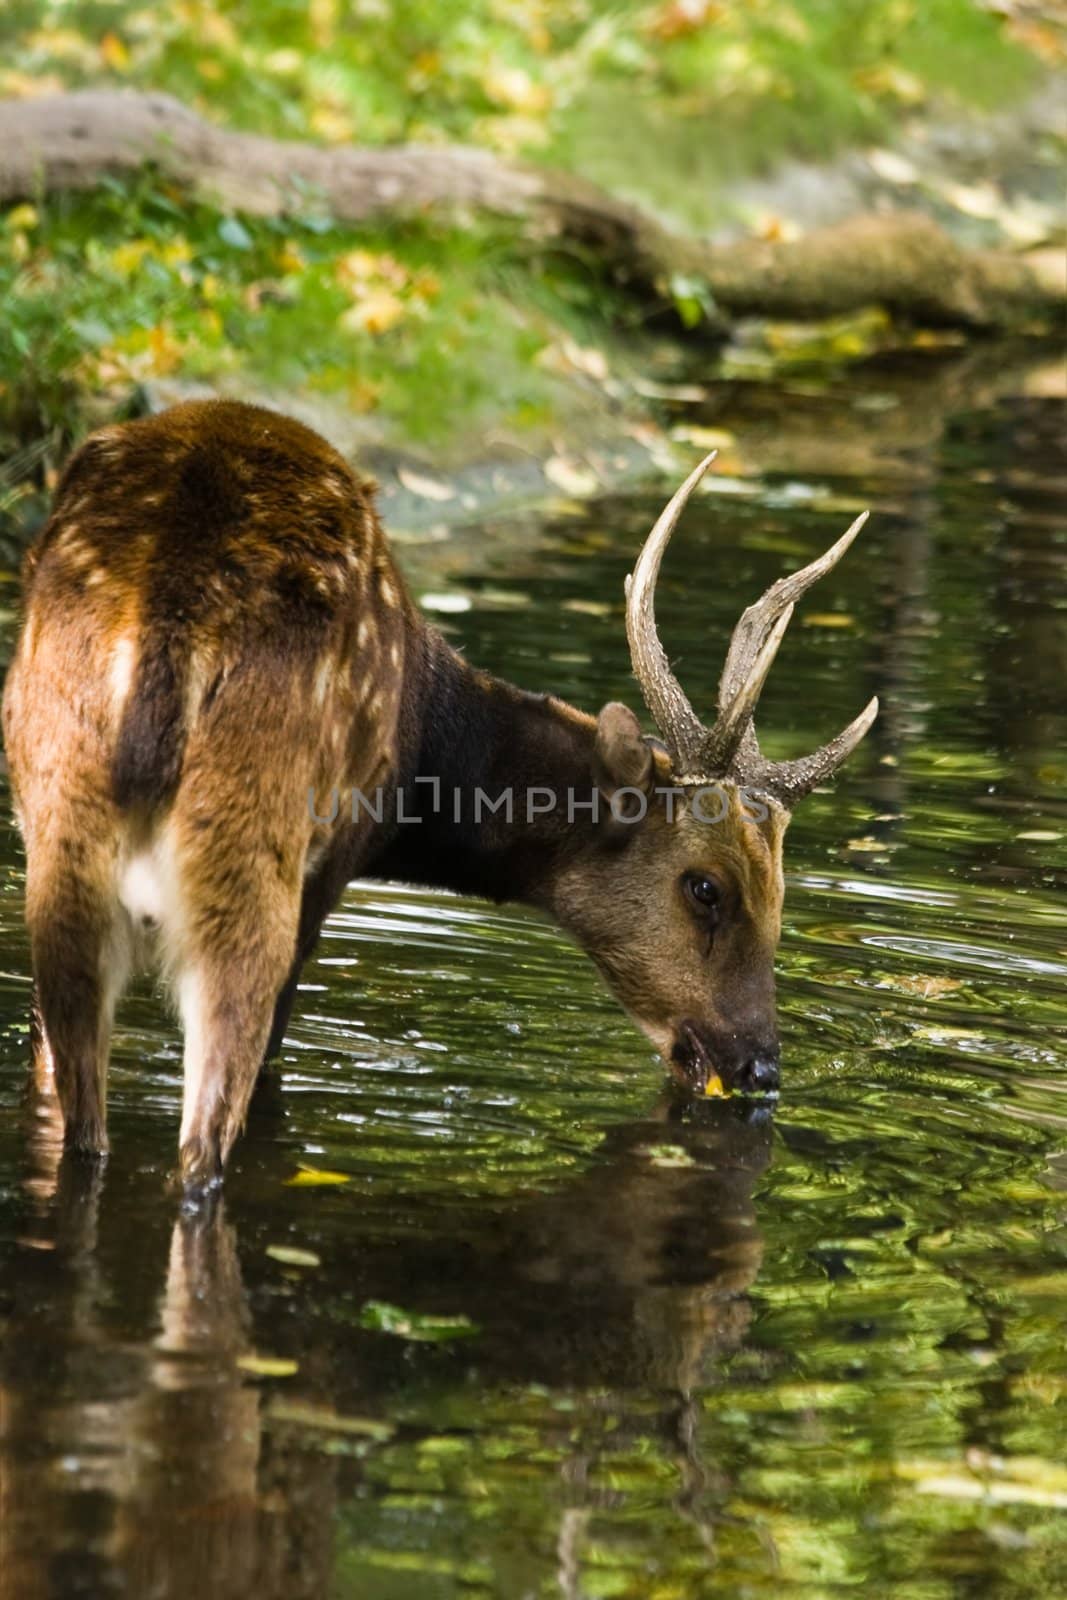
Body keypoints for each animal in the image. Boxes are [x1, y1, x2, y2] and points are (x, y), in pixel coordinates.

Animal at [0, 400, 876, 1196]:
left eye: (781, 892)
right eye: (704, 887)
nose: (757, 1066)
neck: (425, 749)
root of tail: (168, 632)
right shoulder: (329, 867)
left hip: (60, 842)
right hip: (250, 851)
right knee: (200, 1150)